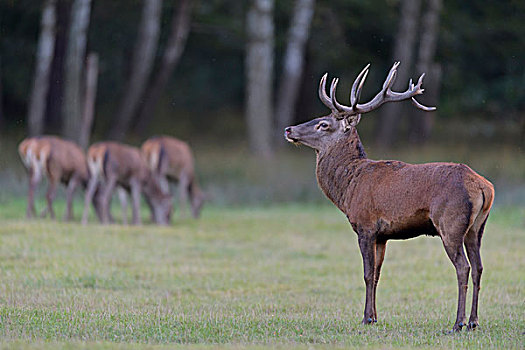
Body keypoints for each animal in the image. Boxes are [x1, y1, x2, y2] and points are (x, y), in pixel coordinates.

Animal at [284, 61, 494, 332]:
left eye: (323, 124)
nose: (289, 129)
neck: (349, 188)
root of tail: (483, 187)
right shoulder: (383, 235)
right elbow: (377, 274)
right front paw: (375, 316)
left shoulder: (365, 225)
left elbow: (366, 274)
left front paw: (365, 318)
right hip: (476, 227)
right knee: (478, 267)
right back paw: (473, 321)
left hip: (451, 223)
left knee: (463, 267)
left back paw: (458, 322)